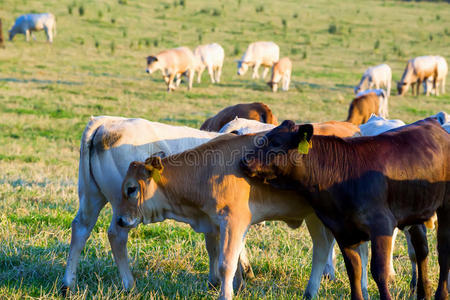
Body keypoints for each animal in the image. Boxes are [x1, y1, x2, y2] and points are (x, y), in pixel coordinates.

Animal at [243, 118, 450, 300]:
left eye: (276, 143)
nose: (245, 160)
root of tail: (432, 123)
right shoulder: (342, 230)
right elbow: (354, 270)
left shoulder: (381, 225)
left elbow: (379, 271)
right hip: (415, 211)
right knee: (421, 250)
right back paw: (424, 293)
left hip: (445, 208)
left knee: (442, 251)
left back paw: (441, 294)